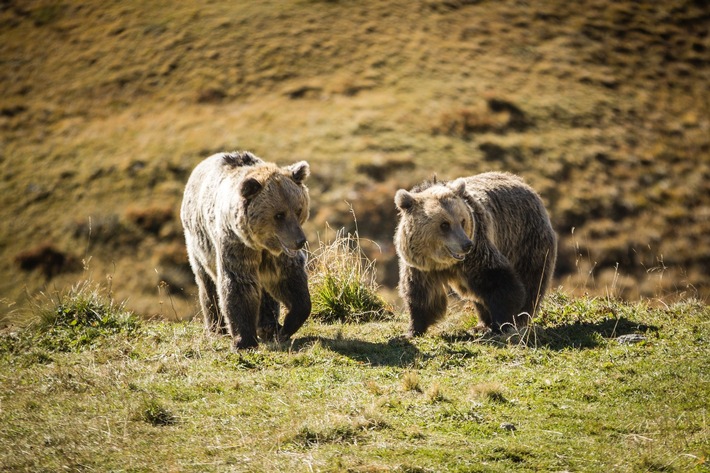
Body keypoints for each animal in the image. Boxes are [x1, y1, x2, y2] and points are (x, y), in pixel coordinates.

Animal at [181, 149, 312, 348]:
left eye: (298, 210)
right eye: (279, 215)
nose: (299, 241)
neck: (260, 244)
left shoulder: (278, 256)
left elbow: (290, 279)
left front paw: (286, 327)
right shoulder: (235, 244)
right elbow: (238, 284)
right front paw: (244, 341)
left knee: (265, 292)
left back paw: (268, 325)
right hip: (198, 244)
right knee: (207, 283)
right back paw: (217, 327)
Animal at [394, 172, 556, 336]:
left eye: (462, 221)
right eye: (444, 224)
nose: (466, 245)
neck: (443, 263)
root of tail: (526, 185)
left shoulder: (477, 253)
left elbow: (499, 282)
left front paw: (501, 324)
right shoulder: (421, 267)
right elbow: (421, 294)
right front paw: (413, 330)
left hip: (524, 240)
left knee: (531, 280)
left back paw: (518, 318)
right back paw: (481, 324)